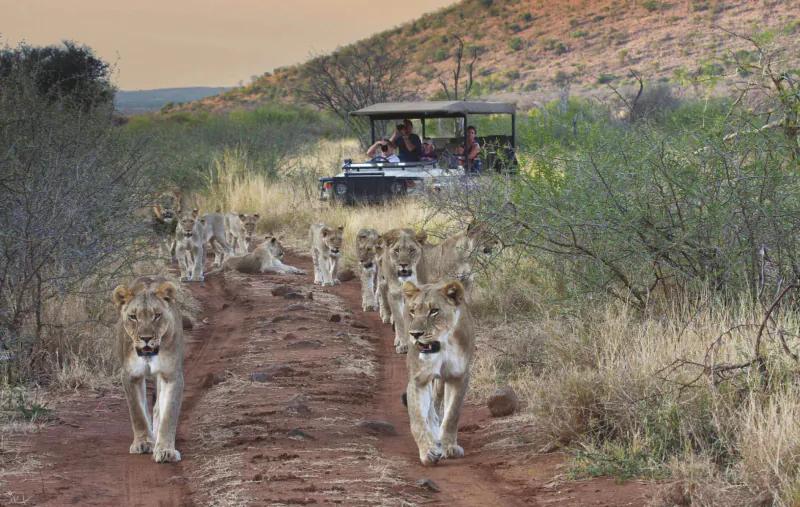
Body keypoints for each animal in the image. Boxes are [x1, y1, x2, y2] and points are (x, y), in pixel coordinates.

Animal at [113, 276, 184, 463]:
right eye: (133, 317)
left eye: (157, 316)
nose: (146, 338)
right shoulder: (130, 375)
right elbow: (137, 412)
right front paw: (143, 443)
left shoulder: (171, 374)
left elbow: (169, 414)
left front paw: (166, 450)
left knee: (158, 407)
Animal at [402, 280, 474, 466]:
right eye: (413, 311)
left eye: (434, 311)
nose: (415, 334)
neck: (443, 345)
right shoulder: (418, 379)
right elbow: (417, 420)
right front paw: (428, 452)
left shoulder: (459, 376)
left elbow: (452, 415)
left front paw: (450, 447)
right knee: (429, 410)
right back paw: (434, 438)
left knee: (437, 400)